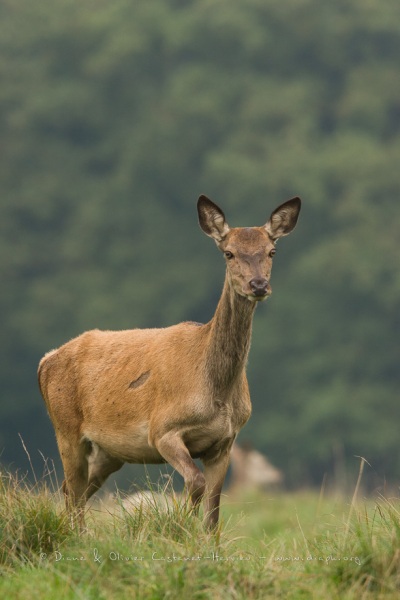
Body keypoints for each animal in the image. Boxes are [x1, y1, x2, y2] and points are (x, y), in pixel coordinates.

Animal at [37, 195, 300, 528]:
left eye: (271, 251)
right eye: (228, 253)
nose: (258, 285)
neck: (216, 391)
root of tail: (45, 361)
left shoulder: (225, 441)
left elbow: (214, 509)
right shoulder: (162, 429)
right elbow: (195, 483)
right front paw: (180, 526)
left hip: (109, 451)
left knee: (75, 490)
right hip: (65, 428)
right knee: (72, 490)